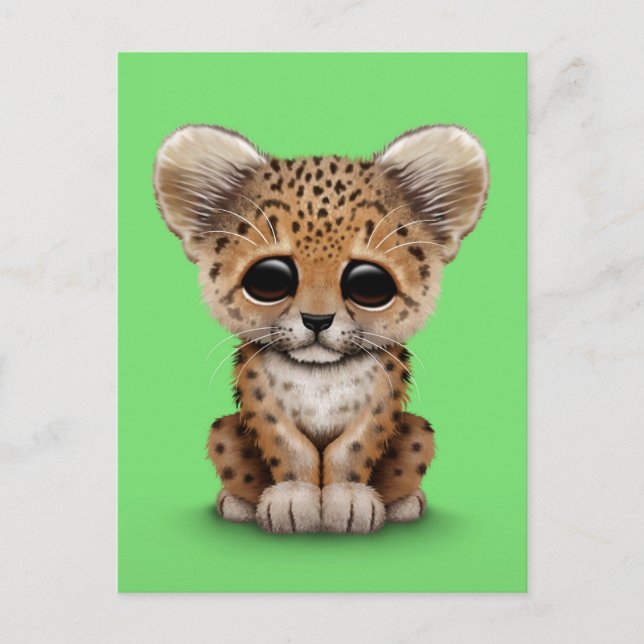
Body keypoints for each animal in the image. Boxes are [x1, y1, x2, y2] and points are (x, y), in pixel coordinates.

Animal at [153, 123, 488, 533]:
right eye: (268, 279)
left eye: (370, 284)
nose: (316, 320)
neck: (320, 375)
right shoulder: (259, 399)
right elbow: (289, 447)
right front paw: (293, 499)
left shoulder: (382, 400)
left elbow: (353, 449)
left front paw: (348, 500)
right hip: (224, 432)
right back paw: (237, 504)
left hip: (418, 432)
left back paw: (405, 504)